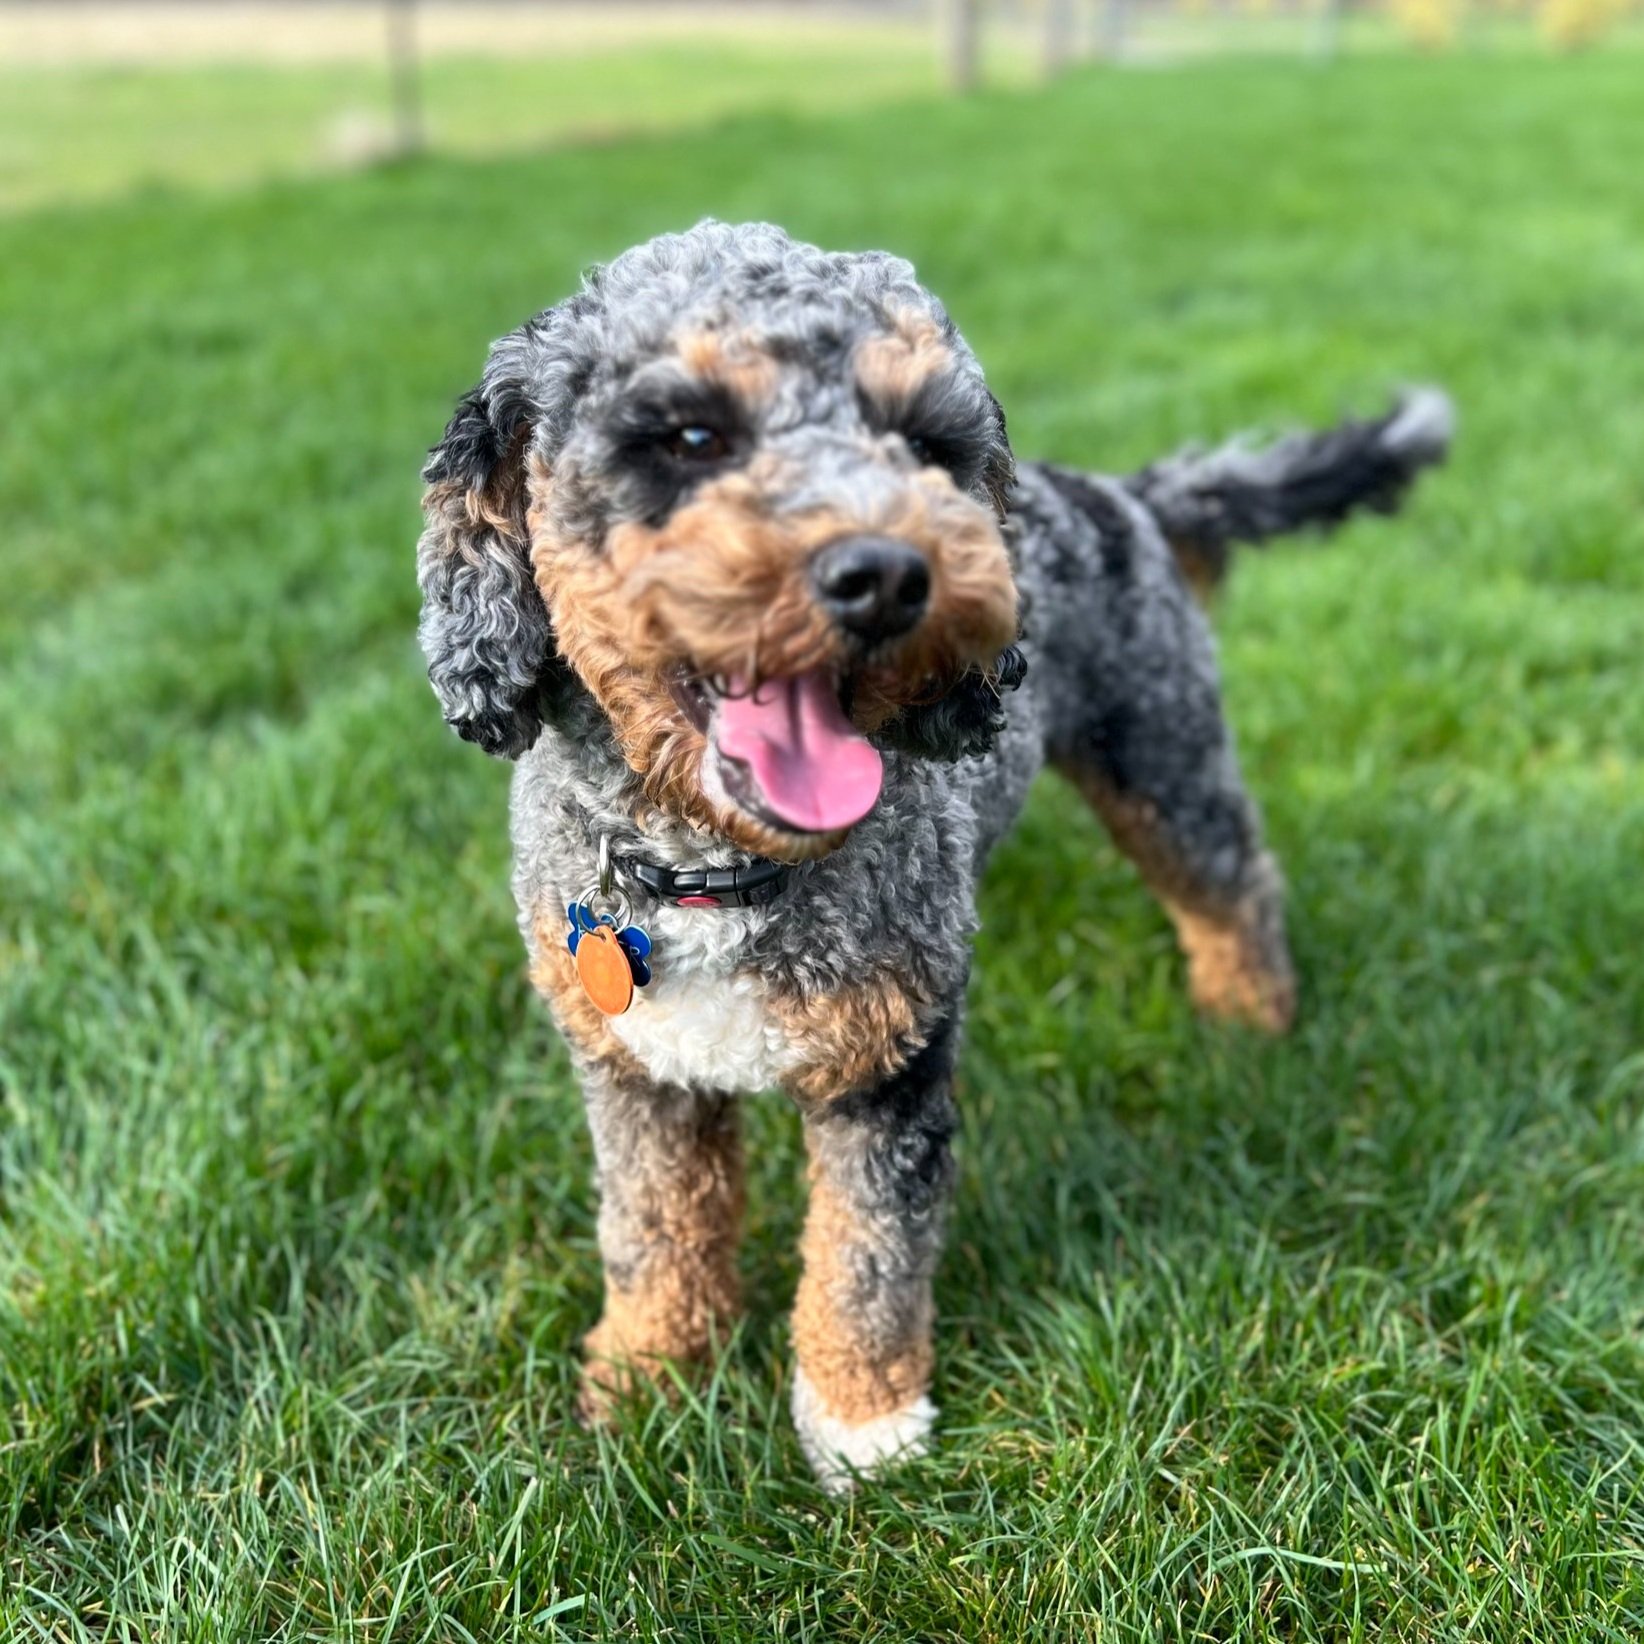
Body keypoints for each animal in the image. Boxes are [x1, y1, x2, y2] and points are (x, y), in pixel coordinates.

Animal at [414, 215, 1453, 1492]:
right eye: (690, 435)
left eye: (921, 442)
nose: (886, 575)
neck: (714, 875)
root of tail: (1119, 492)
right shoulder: (637, 1073)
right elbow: (653, 1230)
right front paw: (645, 1380)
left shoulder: (888, 1065)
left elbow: (867, 1257)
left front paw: (864, 1429)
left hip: (1162, 754)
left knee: (1231, 883)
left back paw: (1249, 1018)